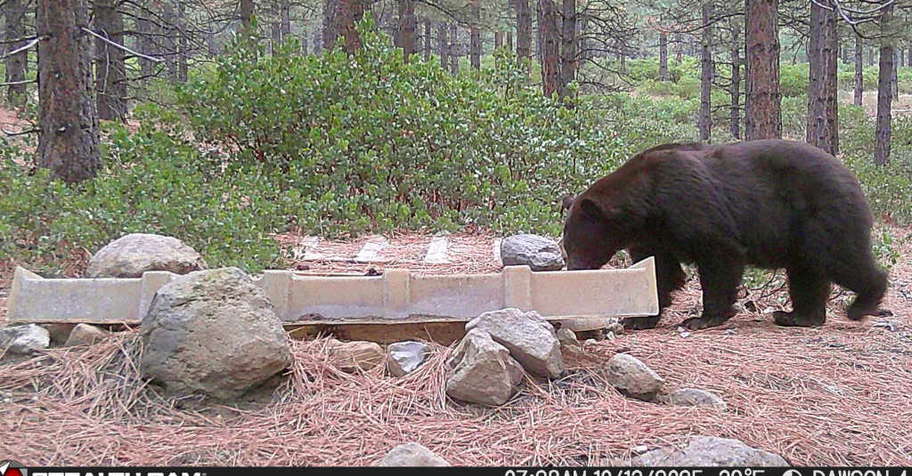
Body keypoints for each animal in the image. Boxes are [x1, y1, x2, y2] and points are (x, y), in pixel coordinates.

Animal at [561, 139, 888, 331]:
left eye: (576, 244)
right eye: (567, 246)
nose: (573, 268)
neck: (647, 205)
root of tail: (852, 176)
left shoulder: (691, 206)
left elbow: (719, 256)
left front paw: (703, 317)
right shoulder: (655, 237)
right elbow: (659, 272)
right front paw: (638, 318)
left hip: (822, 213)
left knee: (841, 258)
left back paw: (862, 303)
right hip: (801, 234)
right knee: (806, 271)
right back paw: (797, 316)